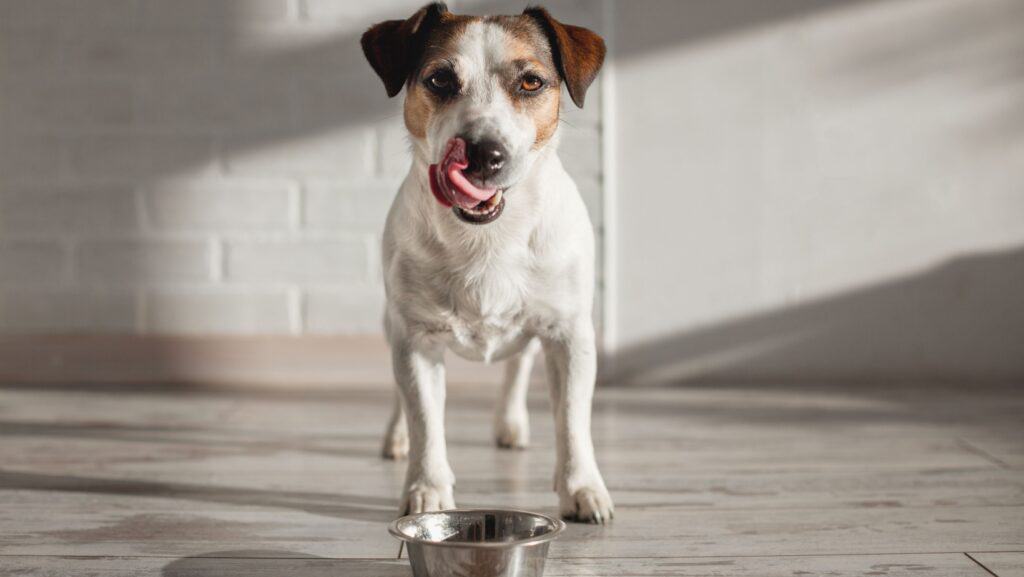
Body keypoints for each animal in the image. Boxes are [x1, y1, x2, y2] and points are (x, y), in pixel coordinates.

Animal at [362, 2, 610, 524]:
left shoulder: (571, 335)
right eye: (439, 80)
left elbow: (572, 420)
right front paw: (427, 490)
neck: (488, 237)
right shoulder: (416, 339)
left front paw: (582, 488)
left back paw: (511, 424)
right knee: (401, 394)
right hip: (391, 323)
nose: (482, 153)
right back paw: (396, 435)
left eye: (531, 82)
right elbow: (425, 420)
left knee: (519, 365)